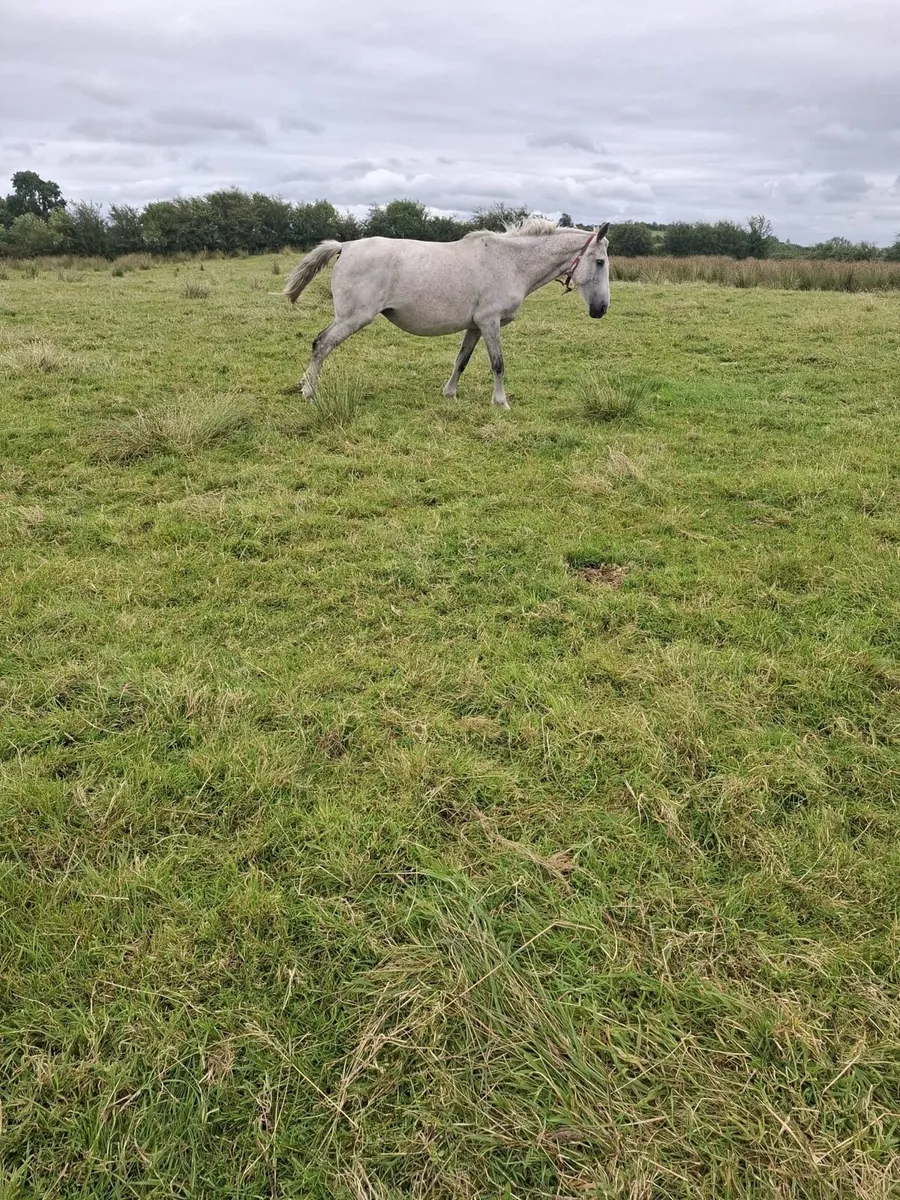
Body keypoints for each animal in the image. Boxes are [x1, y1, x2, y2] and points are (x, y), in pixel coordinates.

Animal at [283, 218, 611, 409]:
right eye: (601, 262)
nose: (602, 309)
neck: (510, 262)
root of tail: (345, 246)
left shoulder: (475, 326)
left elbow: (461, 360)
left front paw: (450, 394)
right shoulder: (490, 322)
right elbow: (498, 364)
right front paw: (501, 402)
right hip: (352, 319)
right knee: (321, 344)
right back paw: (309, 392)